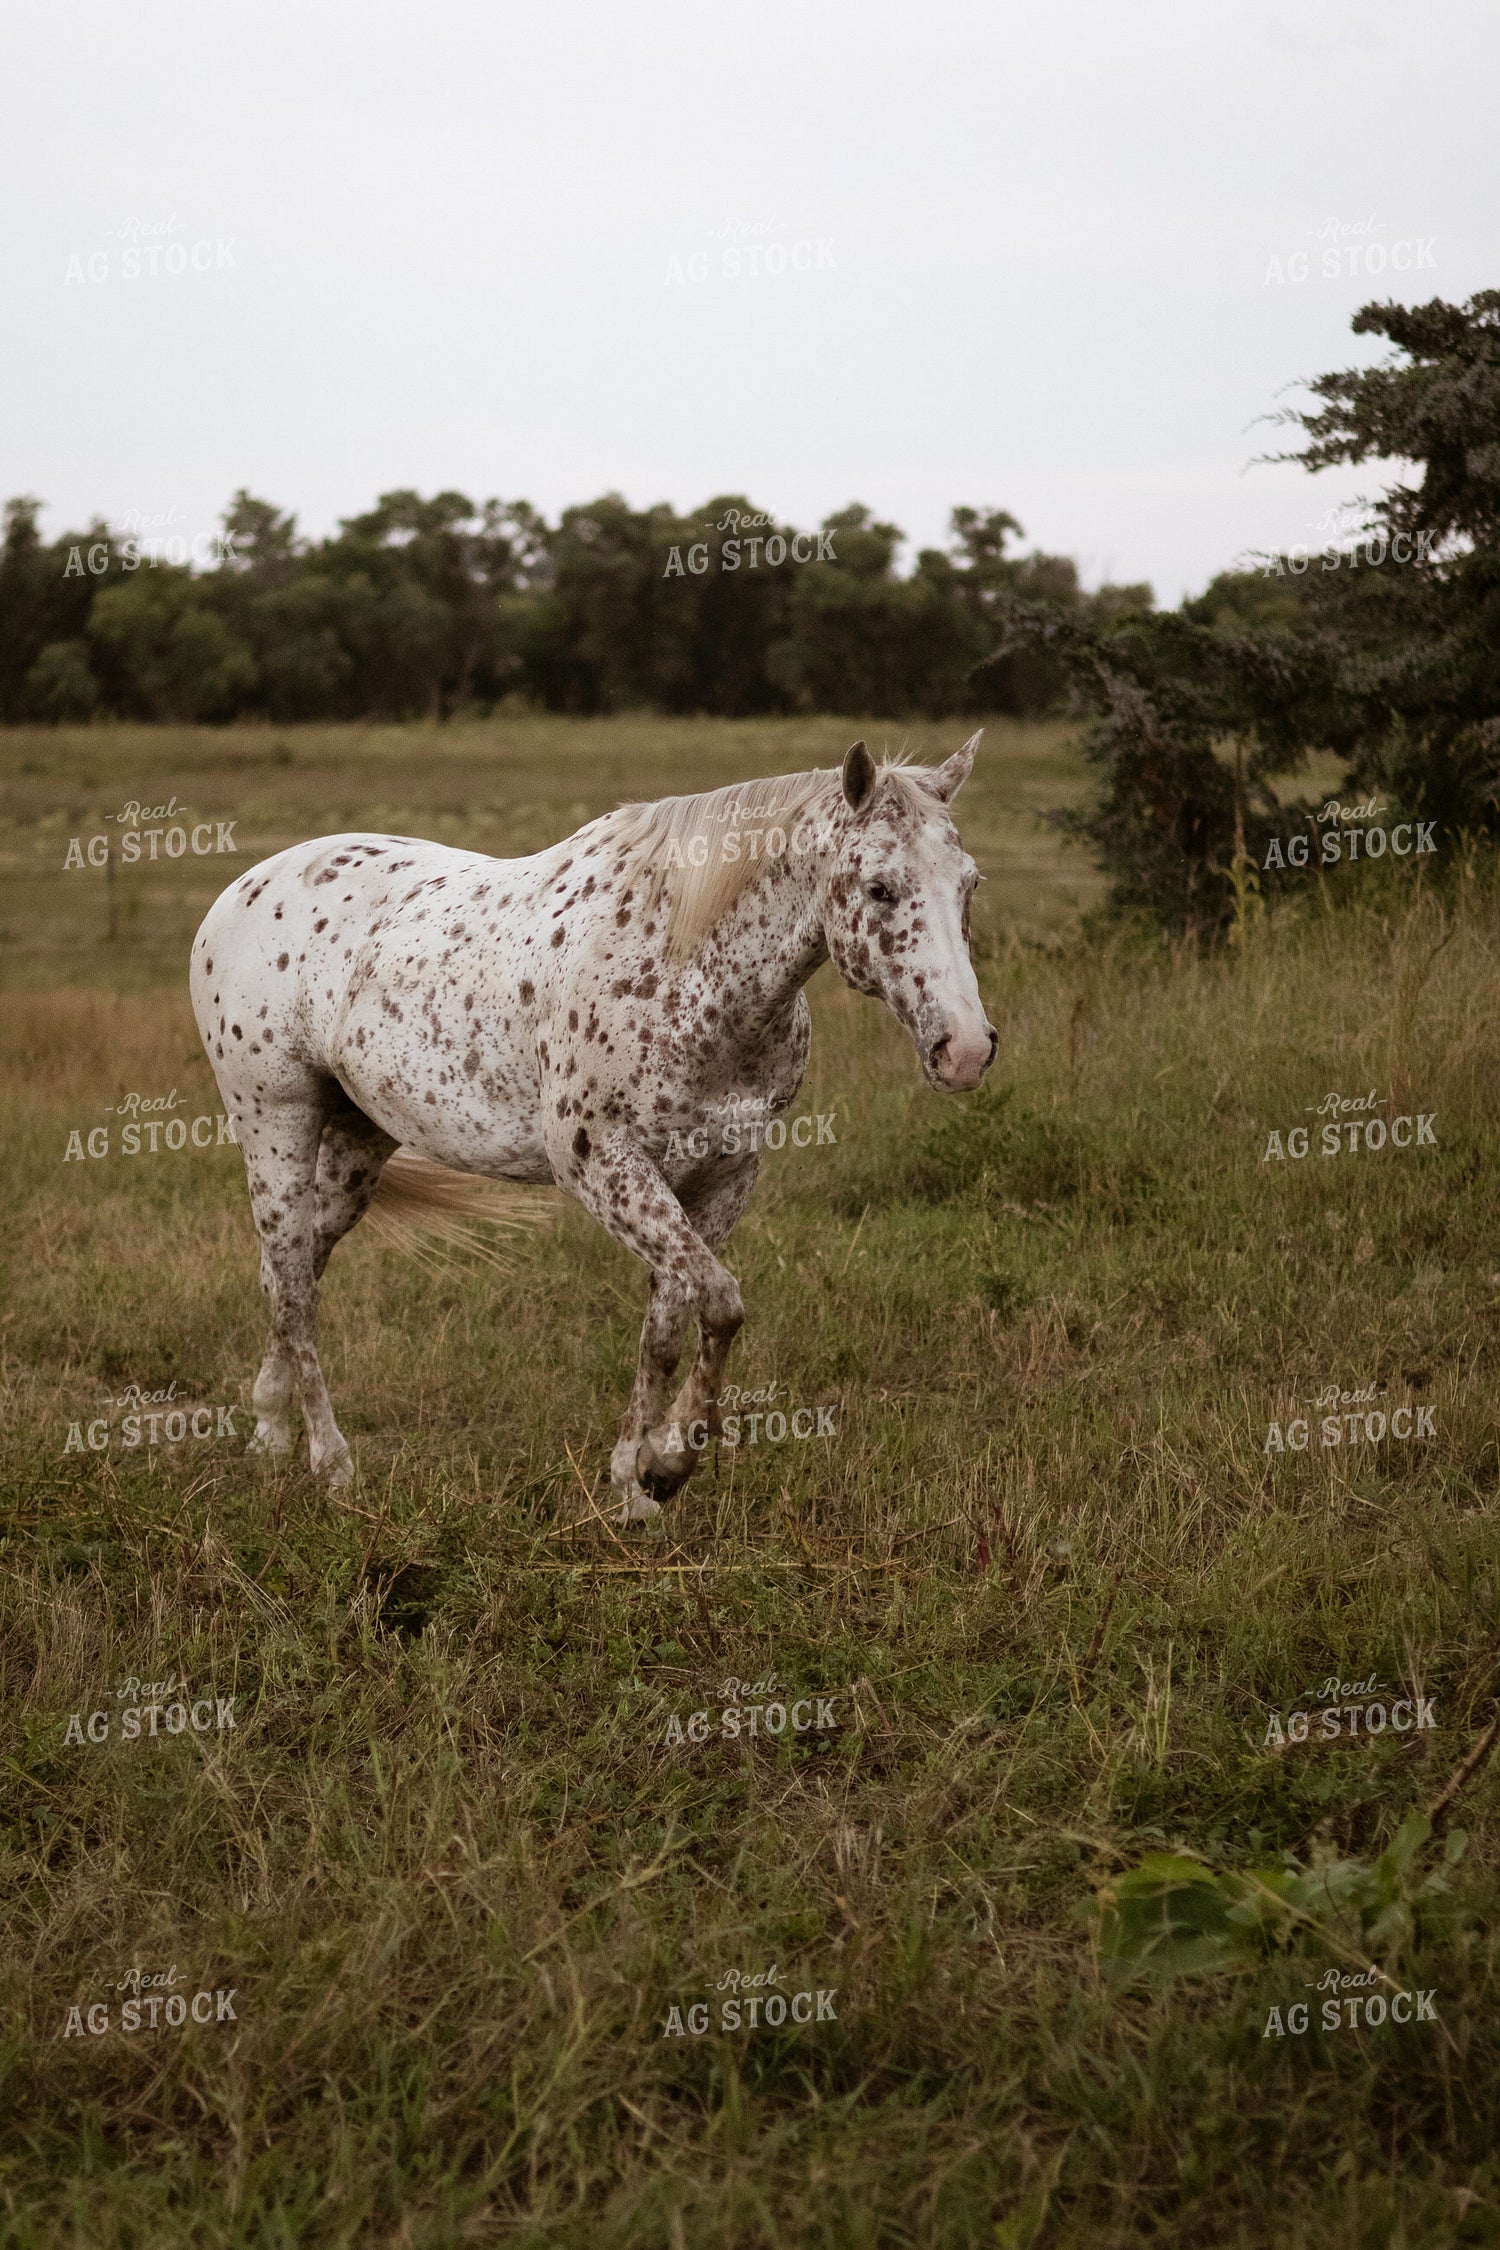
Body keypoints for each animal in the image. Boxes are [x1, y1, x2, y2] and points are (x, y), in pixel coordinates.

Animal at [189, 734, 998, 1520]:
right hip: (275, 1121)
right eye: (879, 888)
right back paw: (332, 1467)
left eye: (969, 884)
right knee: (294, 1287)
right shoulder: (601, 1163)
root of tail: (240, 893)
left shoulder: (723, 1174)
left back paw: (270, 1433)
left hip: (358, 1142)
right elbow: (720, 1302)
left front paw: (631, 1485)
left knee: (291, 1271)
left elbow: (667, 1324)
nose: (965, 1050)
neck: (685, 969)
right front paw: (669, 1467)